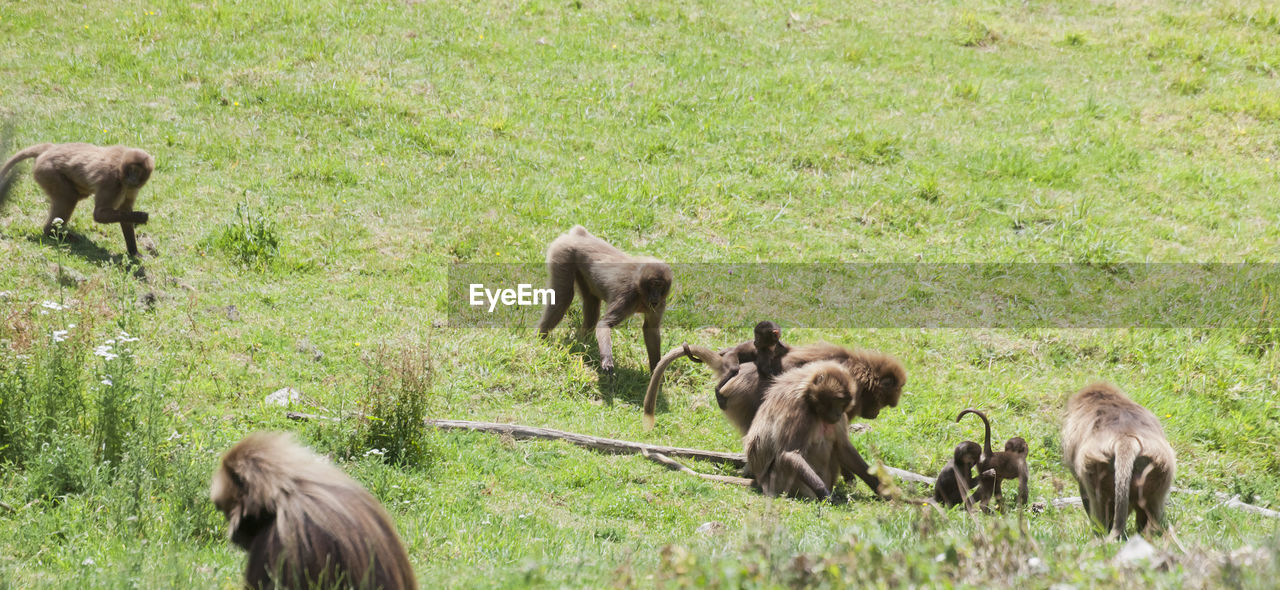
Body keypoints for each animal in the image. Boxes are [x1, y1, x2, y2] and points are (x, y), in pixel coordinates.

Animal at [0, 142, 154, 254]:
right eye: (132, 171)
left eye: (138, 172)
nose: (132, 179)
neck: (121, 171)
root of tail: (50, 148)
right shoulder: (111, 182)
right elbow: (99, 215)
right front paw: (139, 217)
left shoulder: (131, 188)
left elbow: (125, 212)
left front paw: (134, 253)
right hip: (46, 170)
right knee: (69, 198)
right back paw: (51, 232)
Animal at [532, 225, 670, 373]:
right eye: (653, 285)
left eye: (660, 286)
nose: (655, 296)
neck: (640, 293)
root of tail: (580, 235)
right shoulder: (626, 297)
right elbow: (604, 324)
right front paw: (607, 360)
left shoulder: (660, 303)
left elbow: (650, 329)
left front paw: (656, 371)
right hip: (563, 253)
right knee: (564, 298)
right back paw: (539, 338)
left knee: (591, 300)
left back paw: (583, 344)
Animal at [1064, 381, 1172, 537]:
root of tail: (1125, 439)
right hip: (1159, 466)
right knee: (1151, 507)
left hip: (1095, 467)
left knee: (1098, 504)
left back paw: (1101, 533)